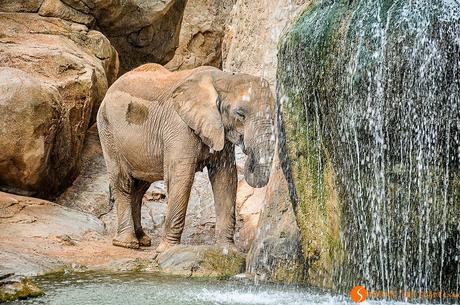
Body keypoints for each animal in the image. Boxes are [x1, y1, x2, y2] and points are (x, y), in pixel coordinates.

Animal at [96, 63, 274, 252]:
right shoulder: (179, 126)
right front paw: (167, 250)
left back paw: (142, 240)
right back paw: (127, 243)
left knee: (140, 187)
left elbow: (225, 178)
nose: (248, 153)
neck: (223, 78)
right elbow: (182, 177)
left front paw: (227, 250)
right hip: (108, 131)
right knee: (123, 182)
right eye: (240, 114)